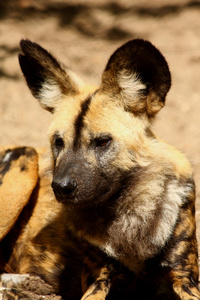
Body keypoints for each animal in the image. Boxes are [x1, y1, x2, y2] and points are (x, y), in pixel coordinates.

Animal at [0, 38, 199, 298]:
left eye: (102, 142)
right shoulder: (97, 280)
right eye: (58, 142)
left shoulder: (185, 278)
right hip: (26, 158)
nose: (60, 187)